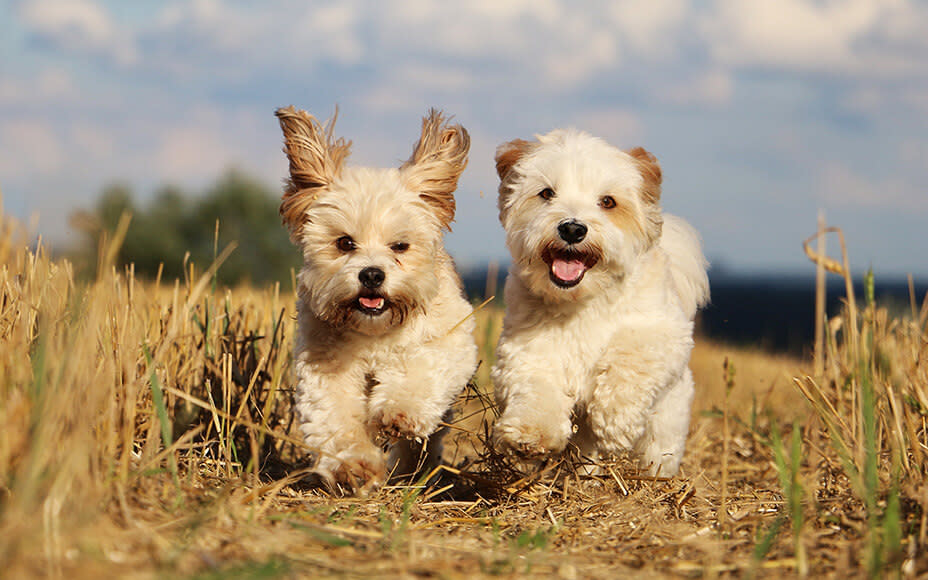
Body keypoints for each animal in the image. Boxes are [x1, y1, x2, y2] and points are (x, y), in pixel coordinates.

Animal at [490, 128, 708, 476]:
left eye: (608, 202)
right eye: (546, 193)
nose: (572, 228)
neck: (583, 301)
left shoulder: (664, 334)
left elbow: (631, 358)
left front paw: (615, 418)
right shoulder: (525, 350)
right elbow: (536, 387)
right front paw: (531, 433)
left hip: (666, 428)